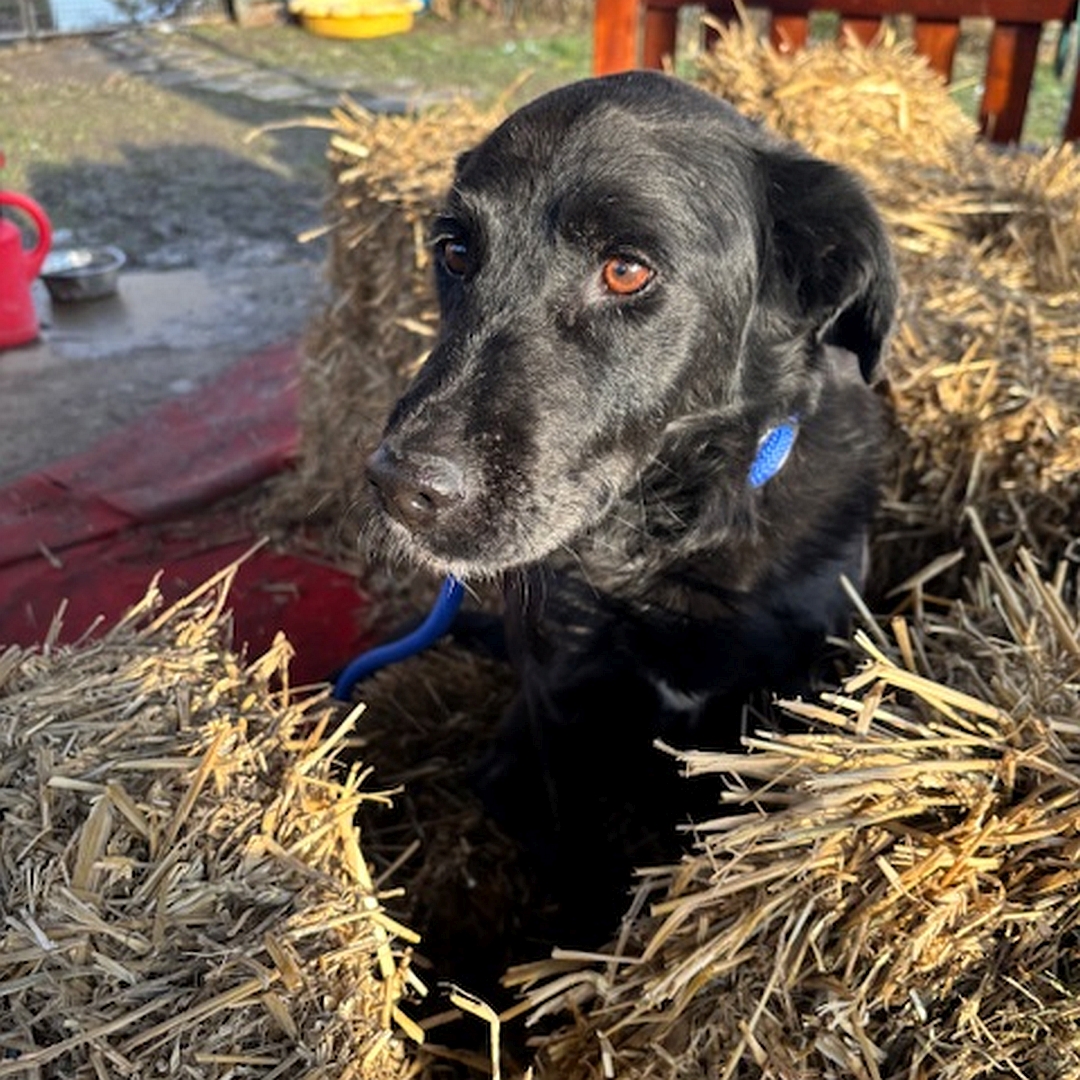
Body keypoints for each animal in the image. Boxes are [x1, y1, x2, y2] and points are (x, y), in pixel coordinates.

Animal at [362, 69, 894, 946]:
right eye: (457, 252)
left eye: (626, 271)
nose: (402, 488)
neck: (666, 542)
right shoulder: (562, 711)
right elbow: (583, 859)